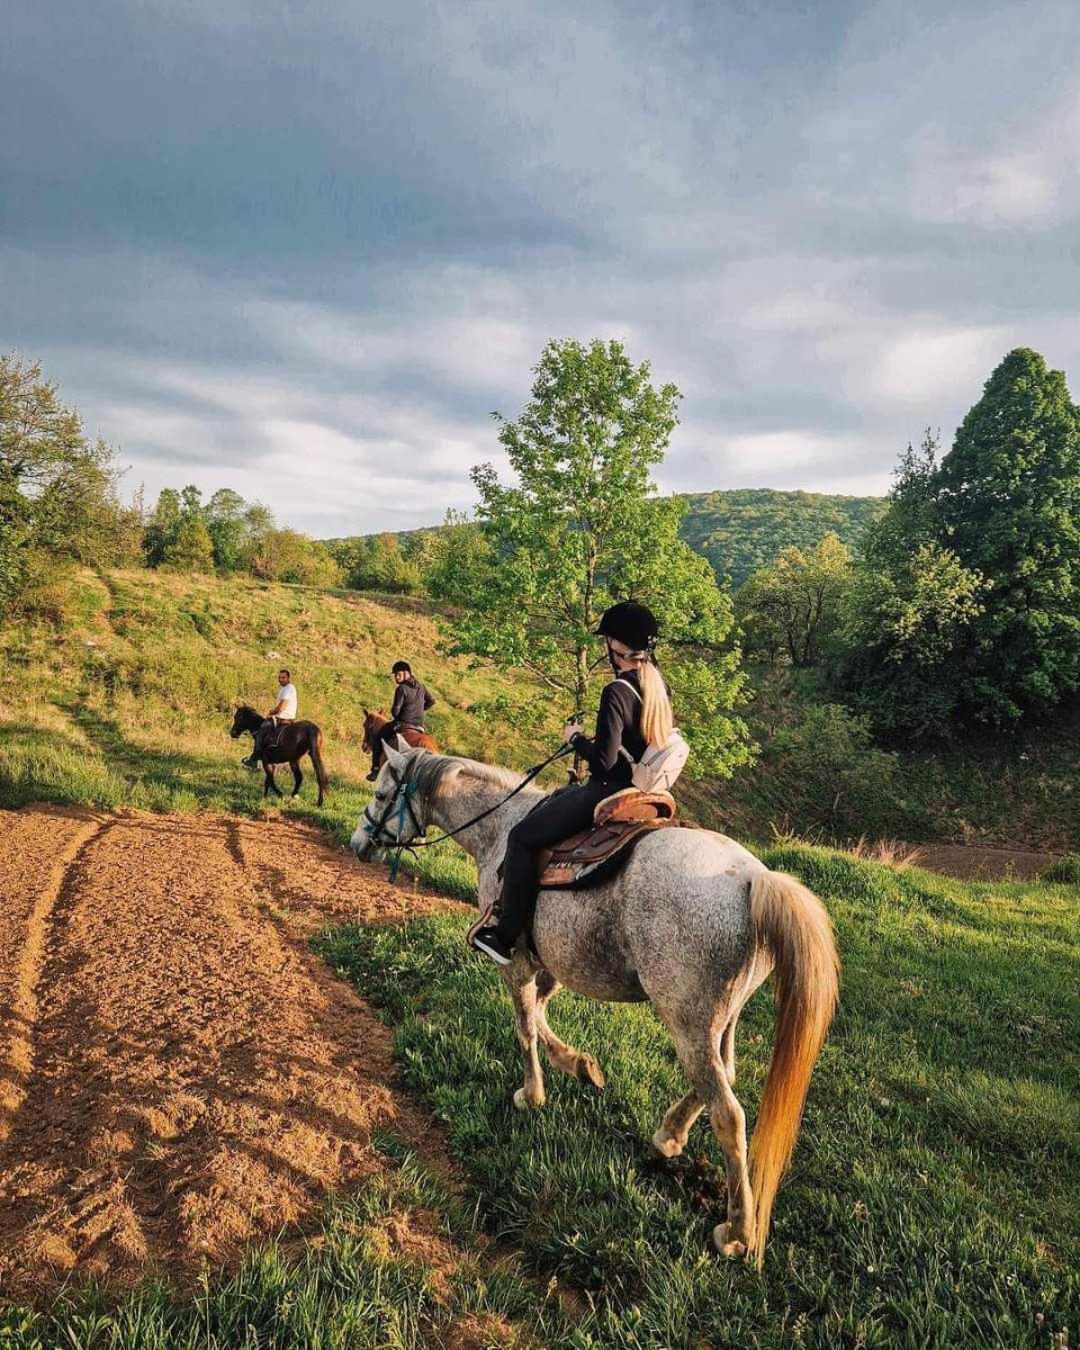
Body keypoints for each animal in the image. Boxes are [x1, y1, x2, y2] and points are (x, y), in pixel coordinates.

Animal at [351, 739, 837, 1263]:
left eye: (381, 793)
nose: (359, 843)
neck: (498, 828)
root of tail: (754, 879)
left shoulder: (515, 960)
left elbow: (525, 1024)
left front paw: (532, 1094)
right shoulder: (555, 961)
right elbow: (542, 1014)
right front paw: (579, 1064)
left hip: (687, 1021)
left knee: (728, 1112)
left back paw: (737, 1230)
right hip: (720, 1019)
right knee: (723, 1075)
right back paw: (669, 1135)